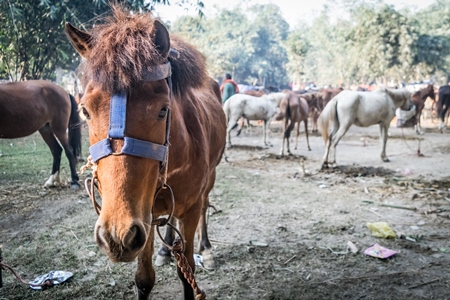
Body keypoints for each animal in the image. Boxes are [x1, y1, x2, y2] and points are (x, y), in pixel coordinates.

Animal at [65, 5, 227, 300]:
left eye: (163, 109)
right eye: (84, 110)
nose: (115, 236)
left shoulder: (188, 210)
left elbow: (187, 274)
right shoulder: (143, 217)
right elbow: (144, 278)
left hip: (210, 178)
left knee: (205, 206)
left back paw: (206, 249)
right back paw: (165, 250)